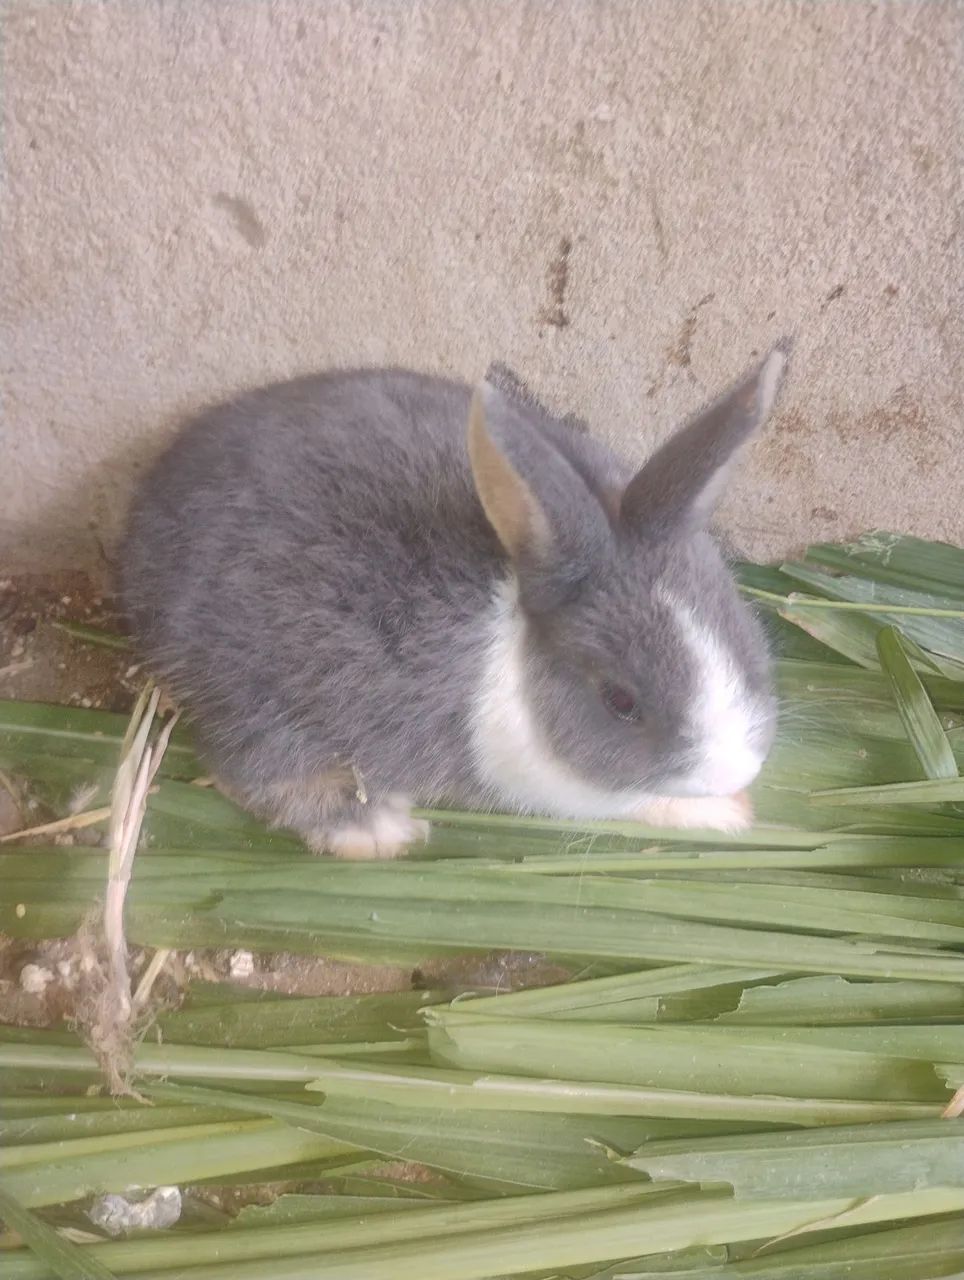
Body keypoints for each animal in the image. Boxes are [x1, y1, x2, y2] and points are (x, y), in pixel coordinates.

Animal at [120, 341, 790, 858]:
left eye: (747, 641)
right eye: (620, 702)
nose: (737, 770)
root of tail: (145, 518)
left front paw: (735, 803)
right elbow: (638, 801)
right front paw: (728, 814)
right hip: (267, 694)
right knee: (253, 772)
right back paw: (378, 829)